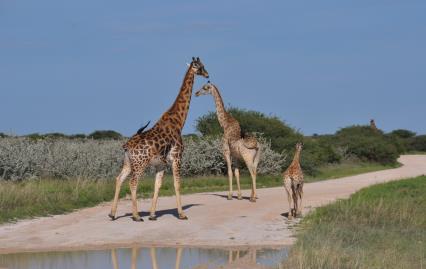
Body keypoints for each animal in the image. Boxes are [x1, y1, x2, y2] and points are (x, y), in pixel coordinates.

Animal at [109, 56, 209, 220]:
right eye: (200, 66)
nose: (207, 75)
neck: (178, 122)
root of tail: (127, 146)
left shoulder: (161, 164)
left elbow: (157, 185)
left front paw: (152, 215)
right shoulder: (176, 158)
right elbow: (177, 184)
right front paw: (181, 214)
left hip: (128, 162)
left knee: (119, 179)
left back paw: (112, 214)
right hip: (140, 164)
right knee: (133, 183)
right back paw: (136, 216)